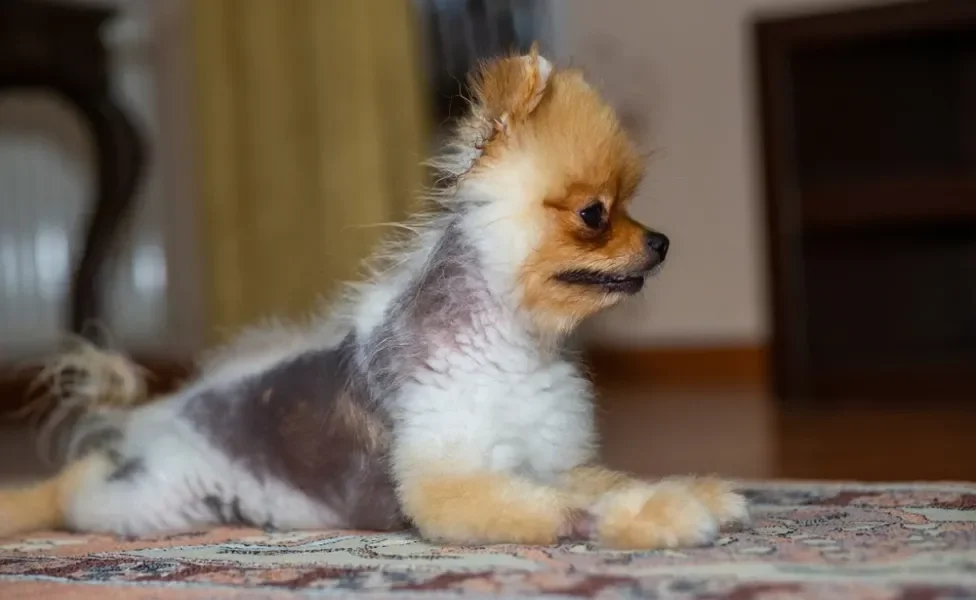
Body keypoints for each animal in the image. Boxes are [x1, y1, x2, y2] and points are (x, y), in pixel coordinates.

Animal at [0, 48, 748, 548]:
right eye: (595, 215)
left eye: (633, 204)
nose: (662, 242)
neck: (513, 346)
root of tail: (154, 415)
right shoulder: (452, 479)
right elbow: (567, 510)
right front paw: (659, 515)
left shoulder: (544, 461)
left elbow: (605, 482)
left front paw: (689, 491)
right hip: (150, 502)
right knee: (74, 489)